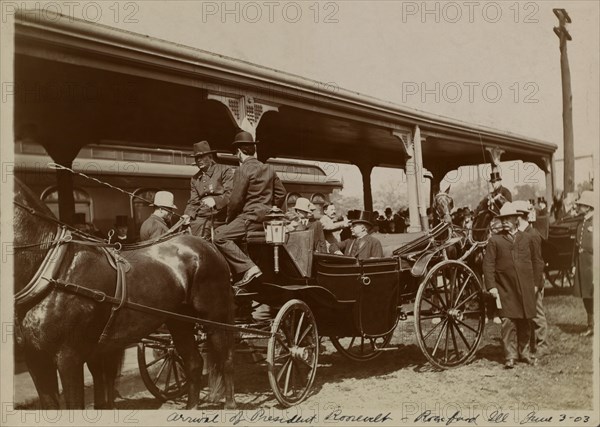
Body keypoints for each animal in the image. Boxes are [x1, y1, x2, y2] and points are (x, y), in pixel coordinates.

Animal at [12, 179, 236, 410]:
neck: (52, 268)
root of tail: (209, 246)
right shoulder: (36, 358)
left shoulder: (69, 357)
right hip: (179, 320)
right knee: (194, 362)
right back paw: (192, 407)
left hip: (215, 316)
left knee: (226, 358)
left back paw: (230, 404)